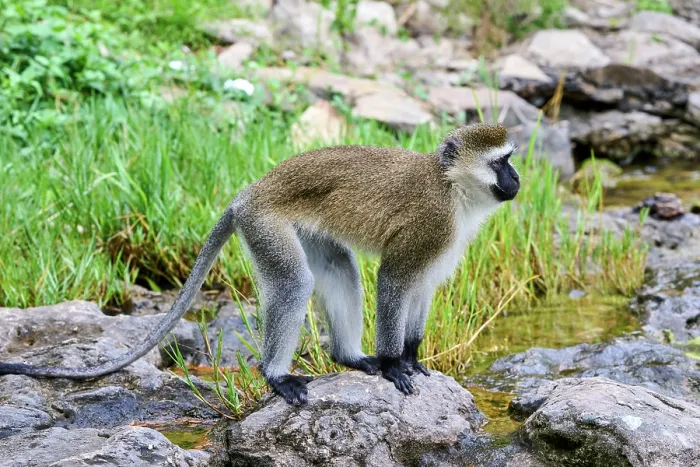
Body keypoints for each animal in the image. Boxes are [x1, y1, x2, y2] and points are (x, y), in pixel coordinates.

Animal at [0, 123, 520, 406]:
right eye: (500, 162)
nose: (517, 178)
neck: (452, 187)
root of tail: (250, 192)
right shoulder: (430, 224)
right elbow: (394, 278)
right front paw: (395, 366)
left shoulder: (442, 241)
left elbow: (421, 287)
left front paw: (411, 357)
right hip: (265, 223)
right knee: (293, 283)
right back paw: (276, 375)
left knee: (338, 268)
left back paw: (349, 358)